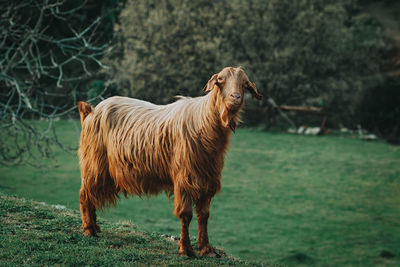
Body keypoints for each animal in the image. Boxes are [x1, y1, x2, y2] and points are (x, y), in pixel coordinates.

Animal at [77, 67, 262, 258]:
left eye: (244, 84)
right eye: (221, 80)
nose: (235, 97)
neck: (204, 121)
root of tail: (91, 111)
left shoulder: (207, 180)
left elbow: (204, 215)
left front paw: (206, 248)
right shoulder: (184, 179)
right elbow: (186, 215)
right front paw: (186, 249)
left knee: (90, 195)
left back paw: (95, 227)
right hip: (94, 163)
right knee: (85, 194)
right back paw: (89, 229)